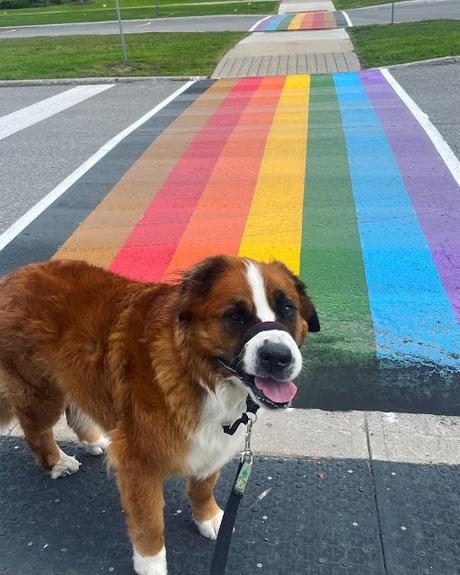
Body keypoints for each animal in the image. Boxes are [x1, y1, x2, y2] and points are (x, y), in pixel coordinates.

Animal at [0, 258, 320, 575]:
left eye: (287, 309)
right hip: (42, 393)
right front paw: (151, 564)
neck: (198, 371)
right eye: (235, 315)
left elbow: (203, 485)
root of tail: (15, 275)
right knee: (36, 431)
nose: (278, 356)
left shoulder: (212, 443)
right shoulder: (139, 464)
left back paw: (93, 440)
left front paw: (208, 516)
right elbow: (149, 525)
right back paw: (58, 461)